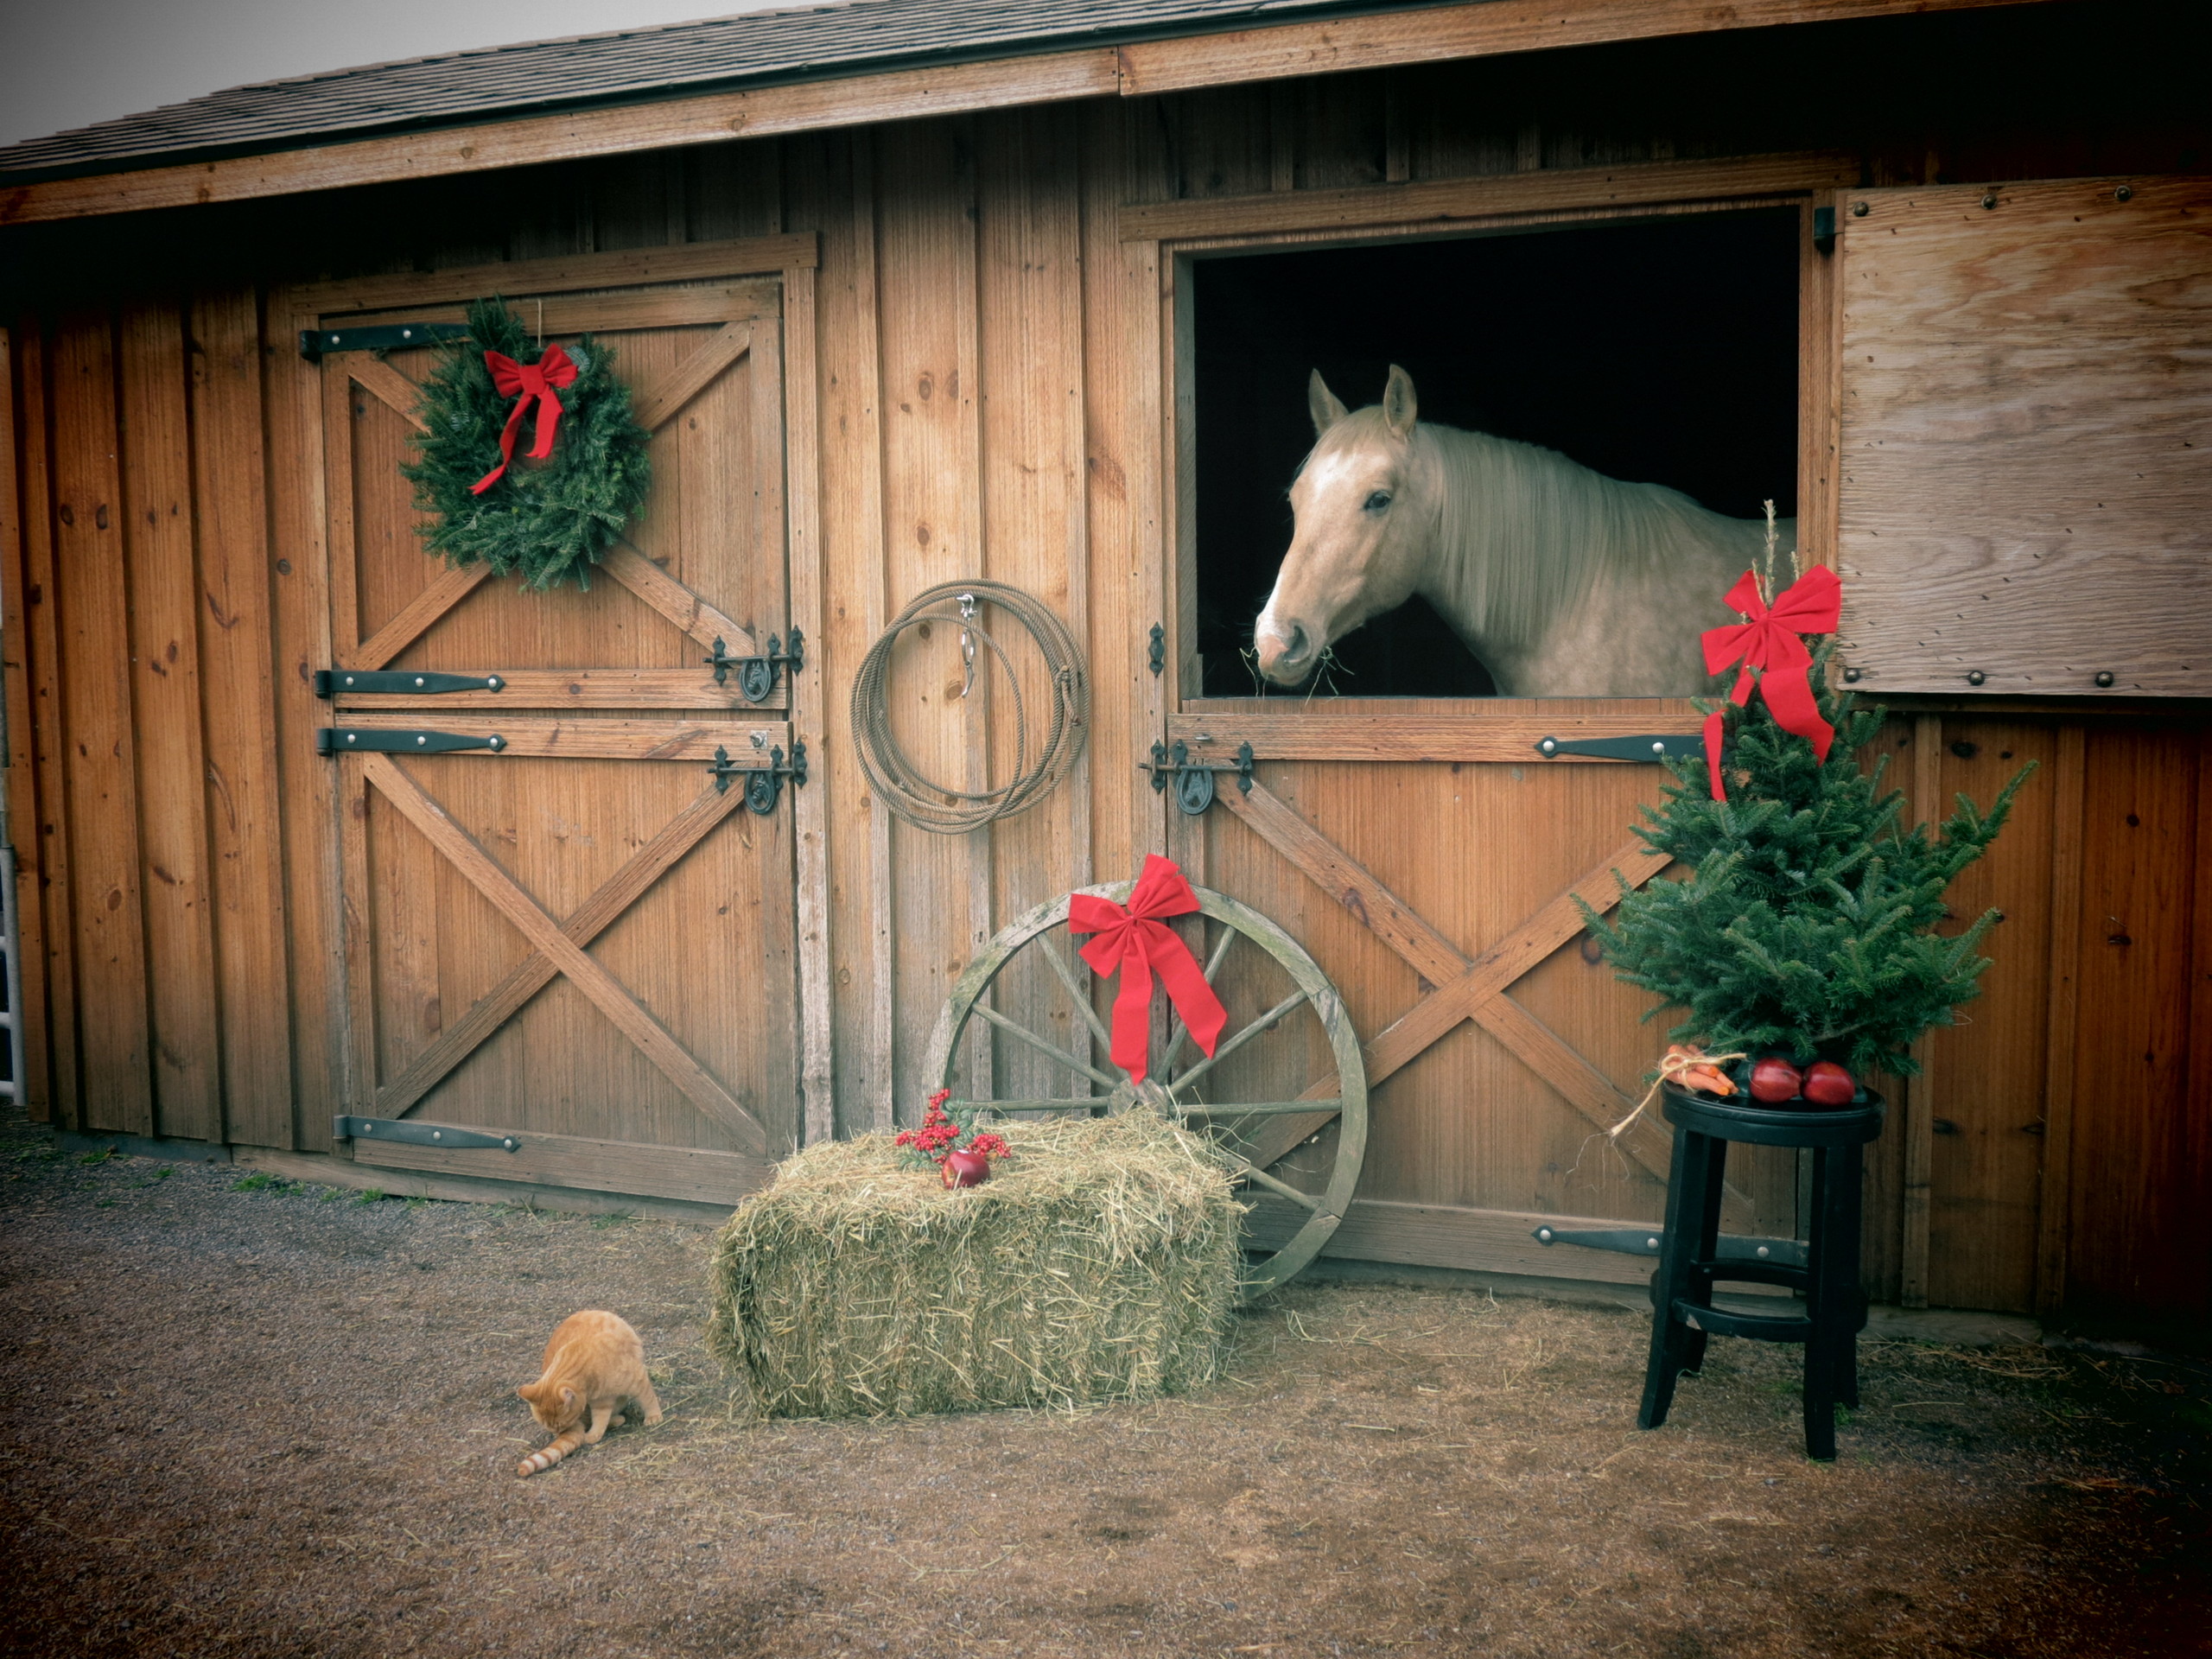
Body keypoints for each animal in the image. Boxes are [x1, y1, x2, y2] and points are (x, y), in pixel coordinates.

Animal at [512, 1309, 658, 1478]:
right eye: (547, 1426)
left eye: (561, 1425)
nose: (558, 1433)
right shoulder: (601, 1401)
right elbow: (600, 1420)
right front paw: (593, 1435)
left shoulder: (637, 1380)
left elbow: (648, 1399)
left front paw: (654, 1417)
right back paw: (617, 1419)